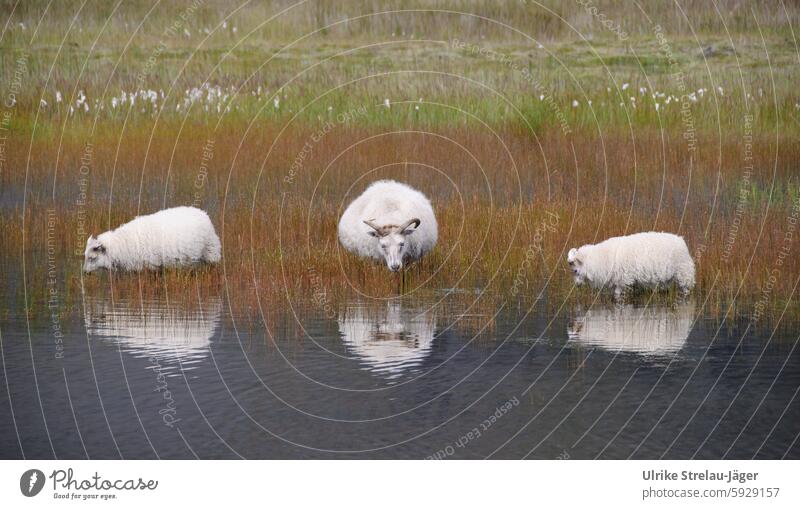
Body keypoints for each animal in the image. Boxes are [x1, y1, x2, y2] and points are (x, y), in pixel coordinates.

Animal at [82, 204, 220, 272]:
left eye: (92, 258)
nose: (85, 273)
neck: (121, 244)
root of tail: (202, 213)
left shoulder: (151, 266)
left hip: (211, 253)